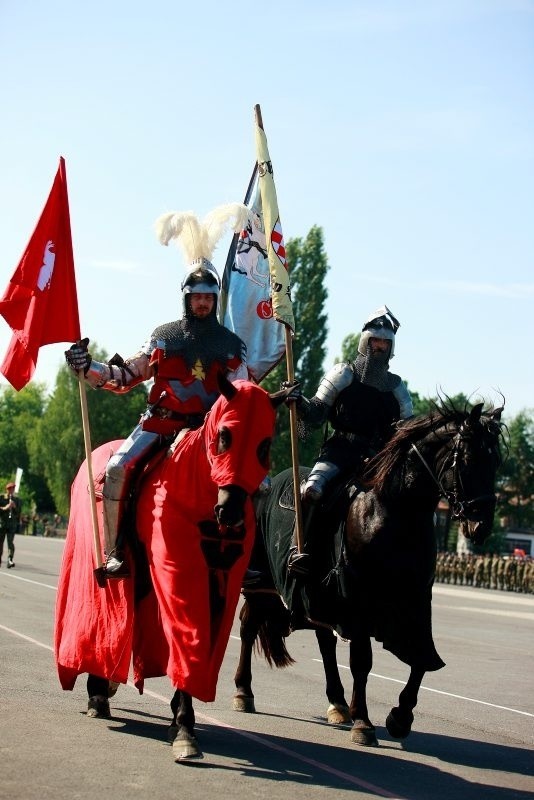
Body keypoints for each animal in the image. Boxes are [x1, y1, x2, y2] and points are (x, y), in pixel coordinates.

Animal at [54, 376, 278, 700]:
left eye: (265, 444)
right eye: (225, 436)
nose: (230, 511)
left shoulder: (222, 575)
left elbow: (202, 637)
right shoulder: (176, 567)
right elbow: (187, 631)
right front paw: (183, 710)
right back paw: (98, 689)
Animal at [234, 404, 506, 748]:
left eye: (495, 462)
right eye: (469, 459)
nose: (480, 525)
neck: (397, 511)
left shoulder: (416, 601)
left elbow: (421, 657)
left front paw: (400, 717)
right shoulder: (357, 598)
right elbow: (362, 661)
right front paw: (363, 722)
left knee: (324, 641)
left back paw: (337, 704)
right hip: (263, 585)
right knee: (248, 627)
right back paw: (244, 691)